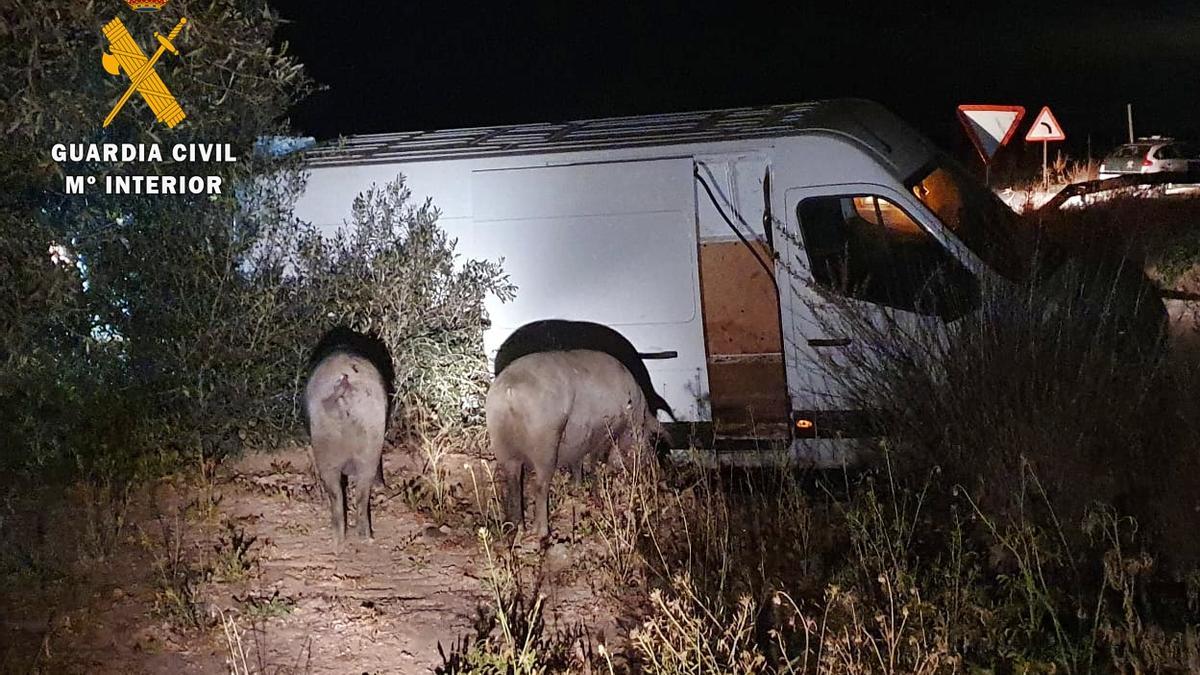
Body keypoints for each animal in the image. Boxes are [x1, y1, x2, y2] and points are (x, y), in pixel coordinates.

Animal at [302, 324, 396, 540]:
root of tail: (344, 389)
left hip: (329, 446)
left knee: (339, 494)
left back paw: (343, 538)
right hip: (368, 442)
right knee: (358, 493)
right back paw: (361, 537)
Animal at [482, 348, 662, 538]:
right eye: (648, 436)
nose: (653, 466)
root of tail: (510, 391)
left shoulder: (579, 440)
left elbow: (578, 463)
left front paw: (577, 489)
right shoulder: (604, 432)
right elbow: (596, 462)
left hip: (501, 442)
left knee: (514, 483)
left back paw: (519, 529)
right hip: (545, 441)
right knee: (540, 485)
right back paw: (542, 533)